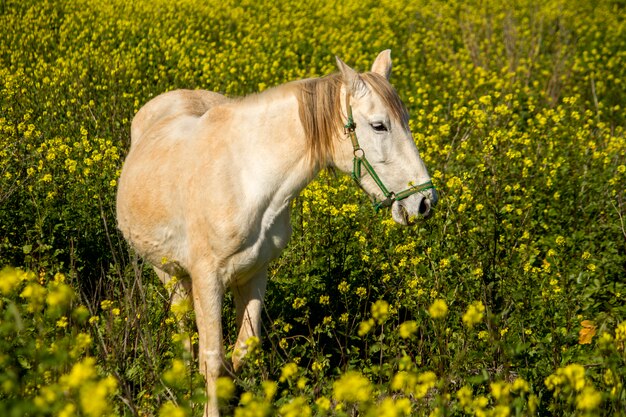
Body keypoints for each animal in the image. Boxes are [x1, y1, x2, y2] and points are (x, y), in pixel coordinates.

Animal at [118, 50, 438, 414]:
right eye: (379, 125)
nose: (424, 201)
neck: (246, 178)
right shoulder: (207, 278)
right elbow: (212, 357)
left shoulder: (255, 274)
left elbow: (243, 349)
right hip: (168, 273)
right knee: (183, 331)